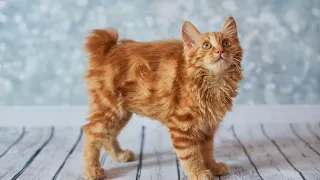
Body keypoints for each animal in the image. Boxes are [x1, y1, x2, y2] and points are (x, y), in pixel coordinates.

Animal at [82, 16, 242, 179]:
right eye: (206, 45)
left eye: (226, 43)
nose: (220, 50)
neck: (214, 82)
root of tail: (109, 48)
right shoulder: (181, 126)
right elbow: (191, 156)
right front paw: (198, 173)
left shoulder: (207, 126)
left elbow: (207, 151)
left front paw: (213, 166)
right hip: (108, 107)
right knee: (91, 133)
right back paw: (92, 170)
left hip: (122, 113)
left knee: (109, 135)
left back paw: (119, 155)